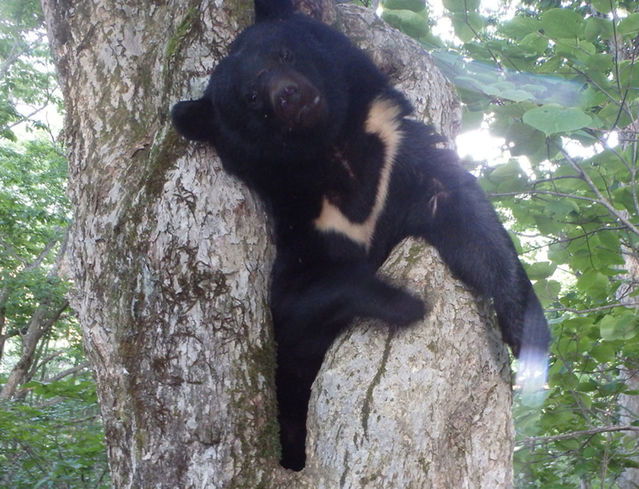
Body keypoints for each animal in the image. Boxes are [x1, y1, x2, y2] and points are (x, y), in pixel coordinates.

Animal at [172, 0, 552, 472]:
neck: (335, 150)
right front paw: (406, 302)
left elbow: (468, 219)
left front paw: (525, 332)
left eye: (284, 53)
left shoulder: (397, 156)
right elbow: (292, 304)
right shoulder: (308, 221)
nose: (288, 95)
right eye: (251, 98)